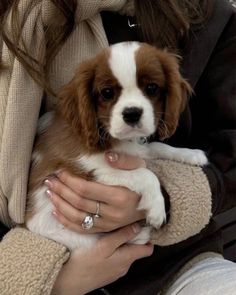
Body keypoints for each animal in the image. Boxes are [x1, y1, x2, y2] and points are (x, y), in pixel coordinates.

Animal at [24, 42, 207, 252]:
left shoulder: (138, 149)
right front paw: (157, 208)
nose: (132, 113)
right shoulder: (86, 173)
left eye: (152, 88)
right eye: (107, 93)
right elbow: (145, 174)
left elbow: (157, 147)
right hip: (82, 240)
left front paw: (191, 154)